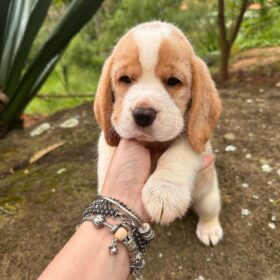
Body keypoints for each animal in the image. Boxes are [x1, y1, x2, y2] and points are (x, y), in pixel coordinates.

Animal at [94, 21, 223, 245]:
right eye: (125, 79)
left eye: (173, 81)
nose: (143, 114)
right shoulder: (113, 131)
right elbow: (108, 153)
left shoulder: (196, 137)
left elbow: (177, 154)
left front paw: (165, 191)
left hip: (209, 199)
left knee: (209, 212)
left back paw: (210, 229)